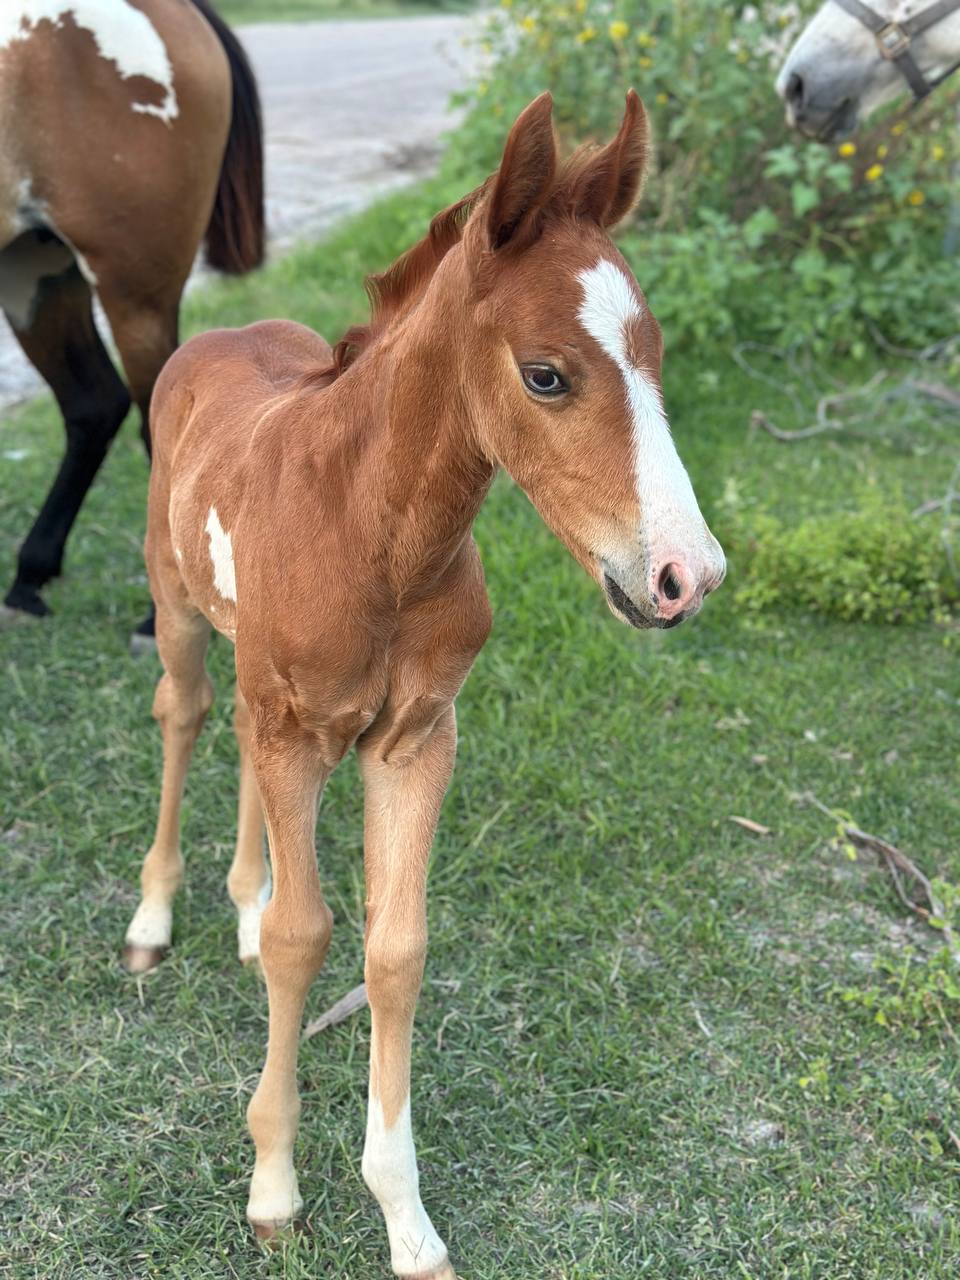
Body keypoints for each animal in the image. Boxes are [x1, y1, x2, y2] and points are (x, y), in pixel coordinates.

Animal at [123, 90, 726, 1277]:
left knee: (243, 759)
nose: (688, 576)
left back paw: (244, 900)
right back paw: (157, 915)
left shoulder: (414, 737)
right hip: (180, 614)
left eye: (655, 354)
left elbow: (393, 950)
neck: (376, 534)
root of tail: (217, 331)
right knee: (186, 716)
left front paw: (406, 1219)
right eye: (546, 374)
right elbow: (311, 939)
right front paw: (274, 1186)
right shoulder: (303, 728)